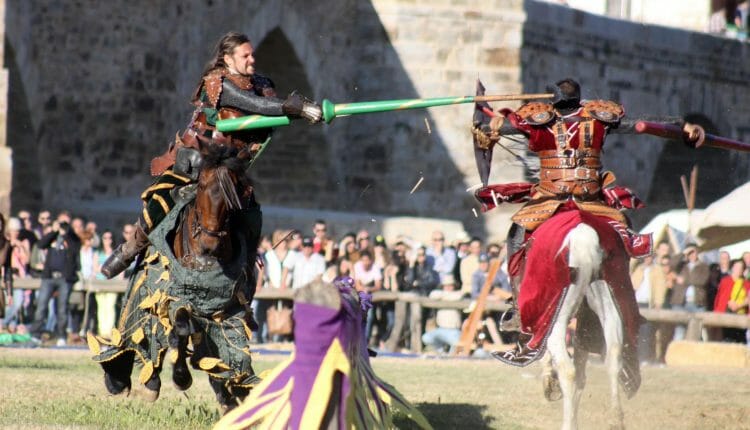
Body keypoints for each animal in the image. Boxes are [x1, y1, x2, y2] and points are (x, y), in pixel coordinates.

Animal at [540, 222, 636, 430]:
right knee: (613, 355)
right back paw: (615, 419)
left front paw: (549, 381)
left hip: (558, 319)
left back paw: (568, 423)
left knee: (568, 371)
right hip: (606, 301)